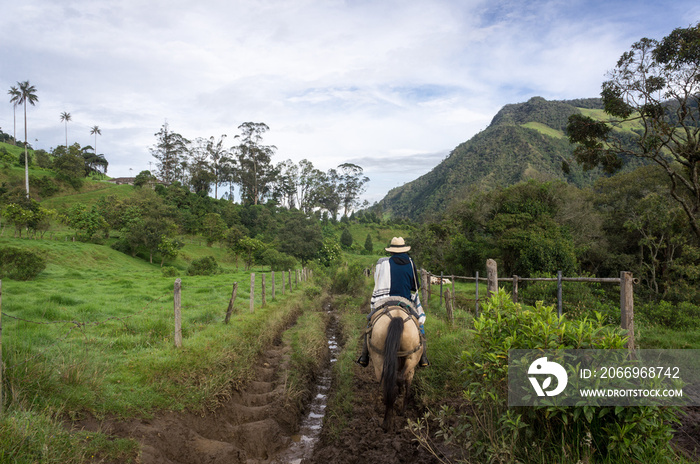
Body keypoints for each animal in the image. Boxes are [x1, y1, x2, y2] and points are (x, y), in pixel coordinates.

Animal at [366, 304, 422, 432]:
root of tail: (397, 317)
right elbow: (406, 383)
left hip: (379, 359)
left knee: (388, 383)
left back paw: (387, 421)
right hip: (412, 357)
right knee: (399, 379)